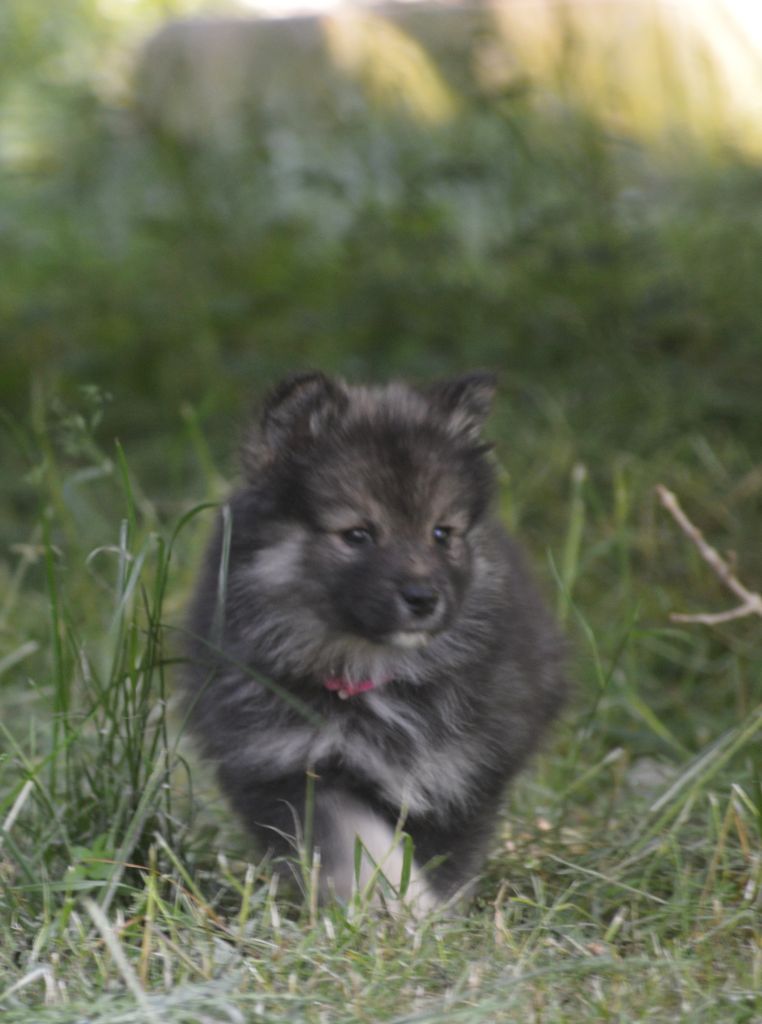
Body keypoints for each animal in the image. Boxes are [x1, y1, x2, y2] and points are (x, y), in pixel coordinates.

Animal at [183, 374, 565, 913]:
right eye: (358, 534)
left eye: (441, 533)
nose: (423, 597)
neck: (372, 672)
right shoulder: (293, 766)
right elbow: (361, 846)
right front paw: (397, 910)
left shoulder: (460, 773)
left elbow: (440, 857)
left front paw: (428, 912)